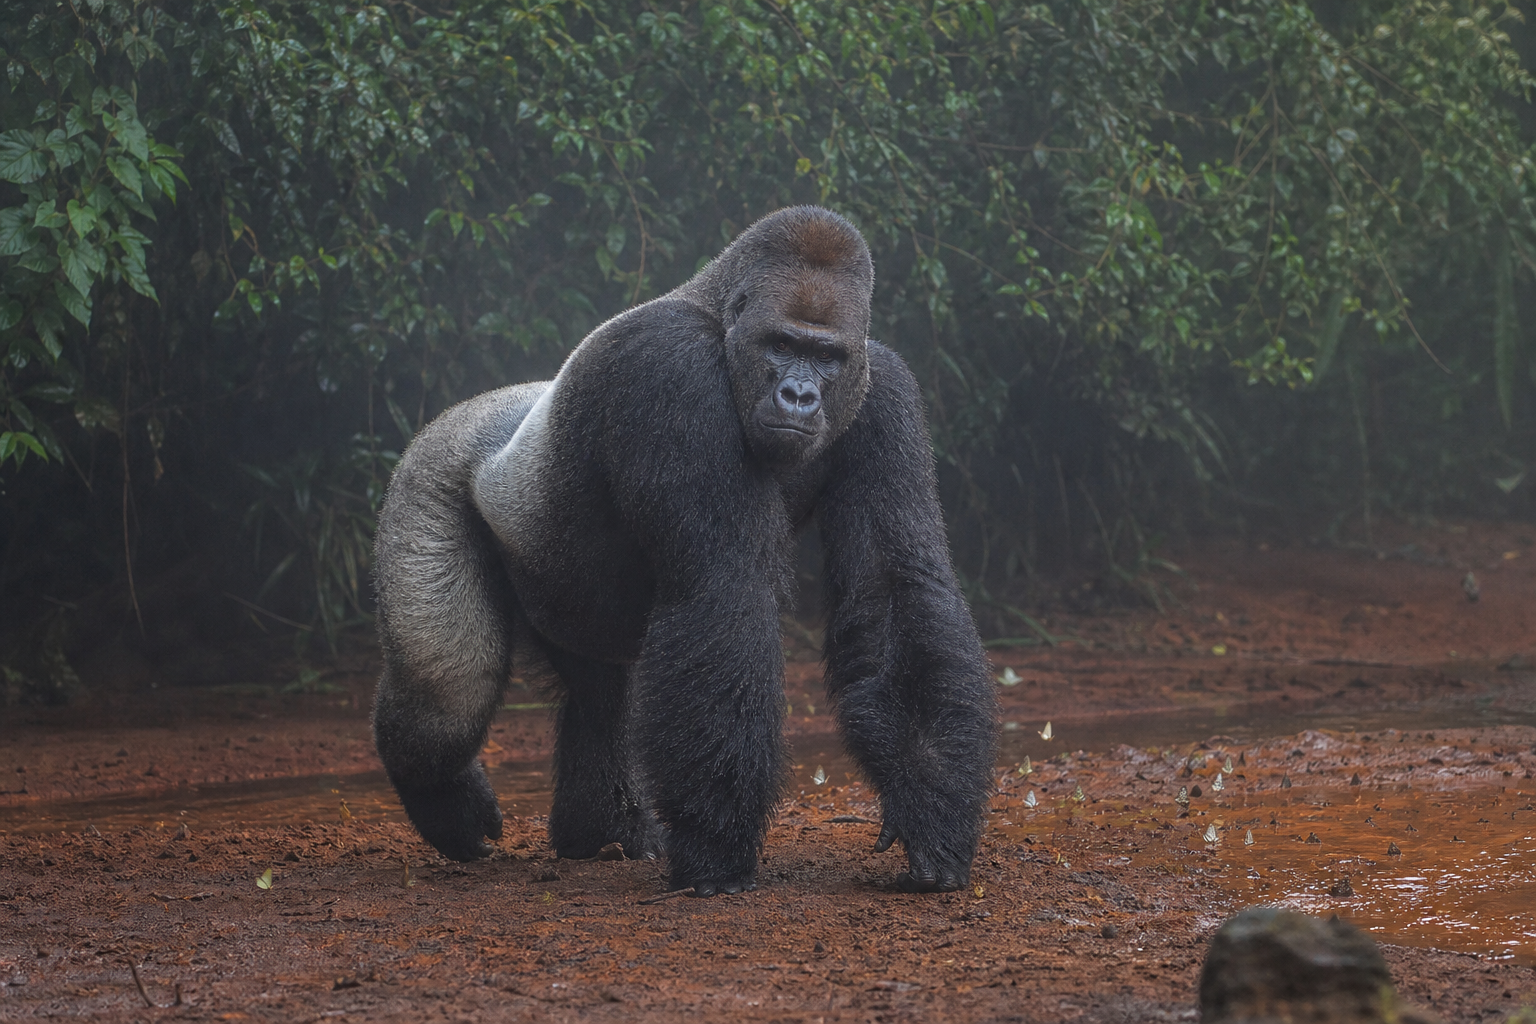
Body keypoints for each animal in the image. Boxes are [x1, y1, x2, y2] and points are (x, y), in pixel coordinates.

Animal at [372, 206, 996, 896]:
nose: (799, 396)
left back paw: (600, 828)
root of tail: (476, 409)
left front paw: (930, 805)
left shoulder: (885, 390)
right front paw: (717, 850)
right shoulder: (670, 365)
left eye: (826, 356)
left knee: (597, 694)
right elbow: (720, 585)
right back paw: (444, 800)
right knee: (448, 687)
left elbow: (890, 591)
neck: (718, 313)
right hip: (428, 474)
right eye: (782, 345)